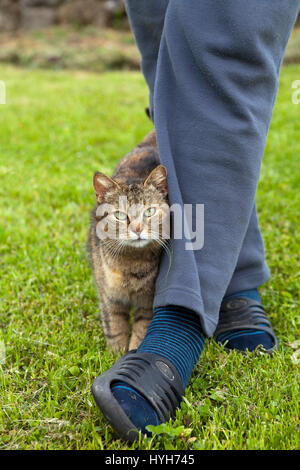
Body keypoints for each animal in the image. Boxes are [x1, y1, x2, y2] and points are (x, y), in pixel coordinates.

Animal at [88, 130, 169, 350]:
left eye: (149, 211)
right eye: (120, 215)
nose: (137, 229)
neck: (132, 265)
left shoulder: (148, 303)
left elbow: (140, 332)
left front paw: (132, 352)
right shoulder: (109, 299)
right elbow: (115, 331)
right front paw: (115, 355)